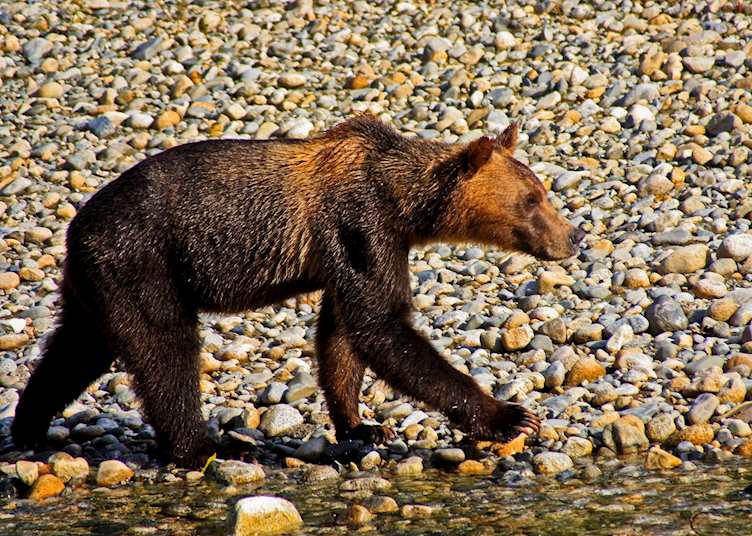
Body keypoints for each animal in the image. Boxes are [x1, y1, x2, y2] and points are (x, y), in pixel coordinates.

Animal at [12, 114, 583, 468]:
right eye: (533, 199)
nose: (573, 236)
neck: (402, 203)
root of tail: (76, 228)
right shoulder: (360, 225)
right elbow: (383, 326)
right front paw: (510, 415)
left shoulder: (360, 248)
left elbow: (342, 334)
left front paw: (361, 426)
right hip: (144, 262)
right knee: (165, 348)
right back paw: (203, 446)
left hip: (97, 283)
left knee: (75, 350)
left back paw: (28, 425)